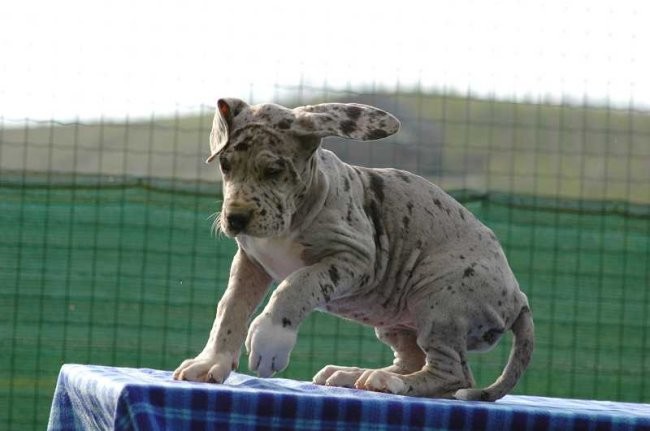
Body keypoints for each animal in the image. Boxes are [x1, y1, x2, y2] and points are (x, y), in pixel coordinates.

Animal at [172, 98, 532, 402]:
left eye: (274, 171)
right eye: (225, 166)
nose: (235, 218)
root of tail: (519, 297)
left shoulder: (354, 259)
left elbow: (296, 284)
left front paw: (271, 338)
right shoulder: (250, 262)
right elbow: (230, 308)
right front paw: (211, 362)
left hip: (439, 297)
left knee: (454, 373)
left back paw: (391, 382)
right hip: (397, 318)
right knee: (413, 358)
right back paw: (357, 374)